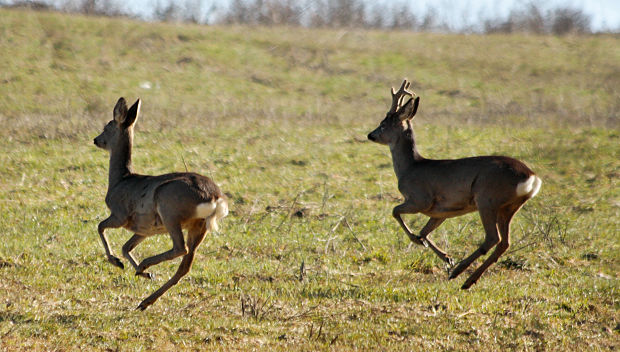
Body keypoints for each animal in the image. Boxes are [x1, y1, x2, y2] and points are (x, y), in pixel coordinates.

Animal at [92, 97, 228, 310]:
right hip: (199, 226)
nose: (96, 140)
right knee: (185, 266)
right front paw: (143, 273)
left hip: (169, 209)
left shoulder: (120, 214)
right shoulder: (145, 229)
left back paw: (145, 265)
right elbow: (126, 246)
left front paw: (118, 263)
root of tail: (214, 198)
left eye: (107, 126)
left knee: (180, 248)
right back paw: (145, 299)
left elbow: (100, 227)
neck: (119, 180)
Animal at [366, 79, 540, 288]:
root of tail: (531, 176)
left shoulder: (420, 199)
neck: (410, 167)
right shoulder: (442, 211)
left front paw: (420, 243)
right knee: (504, 242)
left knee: (492, 238)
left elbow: (395, 212)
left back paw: (459, 272)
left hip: (487, 198)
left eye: (383, 124)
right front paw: (445, 256)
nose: (370, 135)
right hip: (509, 206)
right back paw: (468, 280)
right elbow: (424, 231)